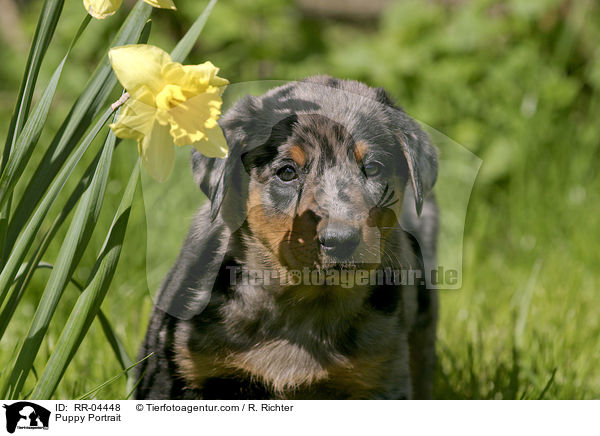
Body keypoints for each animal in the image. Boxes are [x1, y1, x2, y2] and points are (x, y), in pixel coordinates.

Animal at [135, 75, 436, 398]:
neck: (304, 306)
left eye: (372, 168)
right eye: (287, 172)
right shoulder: (178, 369)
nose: (341, 240)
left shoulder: (381, 373)